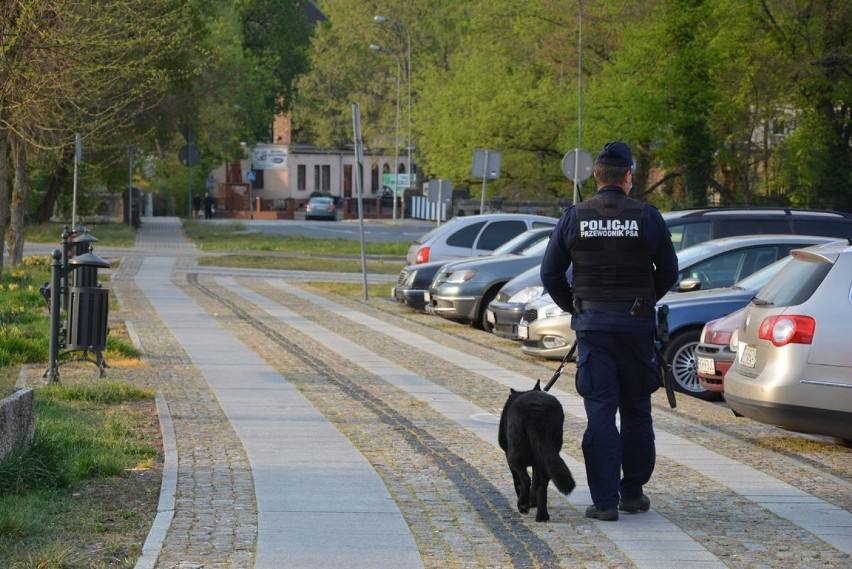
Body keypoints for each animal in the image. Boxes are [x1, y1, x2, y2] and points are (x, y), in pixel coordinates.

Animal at [496, 380, 576, 520]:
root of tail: (537, 411)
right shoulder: (537, 463)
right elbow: (536, 482)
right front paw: (533, 502)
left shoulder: (509, 457)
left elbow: (518, 482)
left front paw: (526, 502)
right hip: (547, 456)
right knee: (542, 485)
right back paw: (542, 515)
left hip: (514, 456)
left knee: (525, 480)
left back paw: (523, 505)